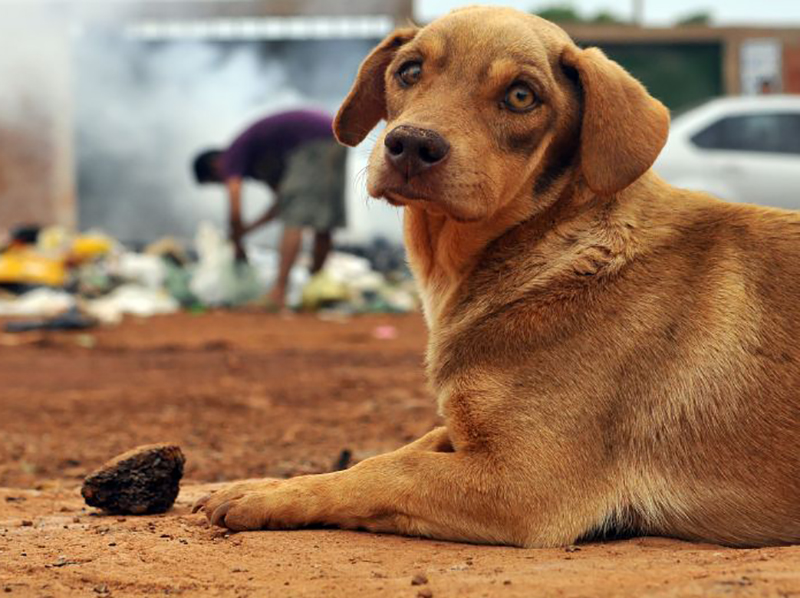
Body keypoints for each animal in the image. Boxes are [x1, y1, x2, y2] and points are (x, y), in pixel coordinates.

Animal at [195, 5, 800, 548]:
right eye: (408, 71)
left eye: (521, 96)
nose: (411, 144)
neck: (548, 245)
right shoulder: (470, 433)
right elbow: (395, 452)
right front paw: (266, 483)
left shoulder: (525, 482)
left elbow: (387, 472)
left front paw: (270, 496)